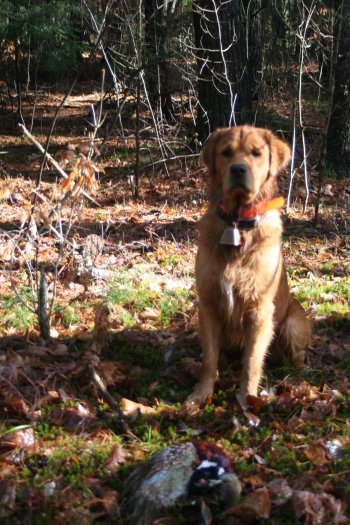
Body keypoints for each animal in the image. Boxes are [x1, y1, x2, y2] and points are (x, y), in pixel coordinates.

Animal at [187, 126, 310, 410]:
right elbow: (209, 359)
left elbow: (252, 362)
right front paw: (201, 394)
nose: (238, 169)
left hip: (292, 324)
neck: (236, 221)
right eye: (226, 152)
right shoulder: (208, 304)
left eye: (256, 153)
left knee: (296, 356)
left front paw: (247, 399)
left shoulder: (260, 310)